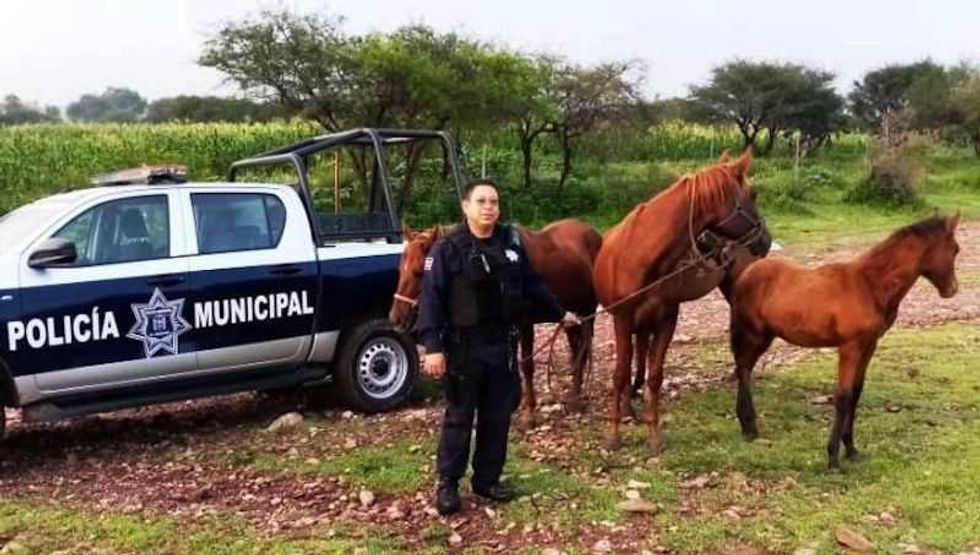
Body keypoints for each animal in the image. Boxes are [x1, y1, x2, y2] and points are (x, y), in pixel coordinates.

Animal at [593, 150, 772, 454]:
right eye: (754, 194)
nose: (766, 241)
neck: (639, 255)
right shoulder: (623, 318)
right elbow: (620, 374)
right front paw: (613, 434)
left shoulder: (667, 318)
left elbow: (655, 376)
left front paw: (654, 435)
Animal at [729, 213, 961, 470]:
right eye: (955, 249)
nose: (952, 289)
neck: (869, 285)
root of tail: (747, 272)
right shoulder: (849, 347)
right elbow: (843, 396)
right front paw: (833, 458)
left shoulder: (869, 345)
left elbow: (856, 393)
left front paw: (851, 449)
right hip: (753, 333)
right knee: (743, 368)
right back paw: (749, 426)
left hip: (766, 335)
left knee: (744, 368)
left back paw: (747, 426)